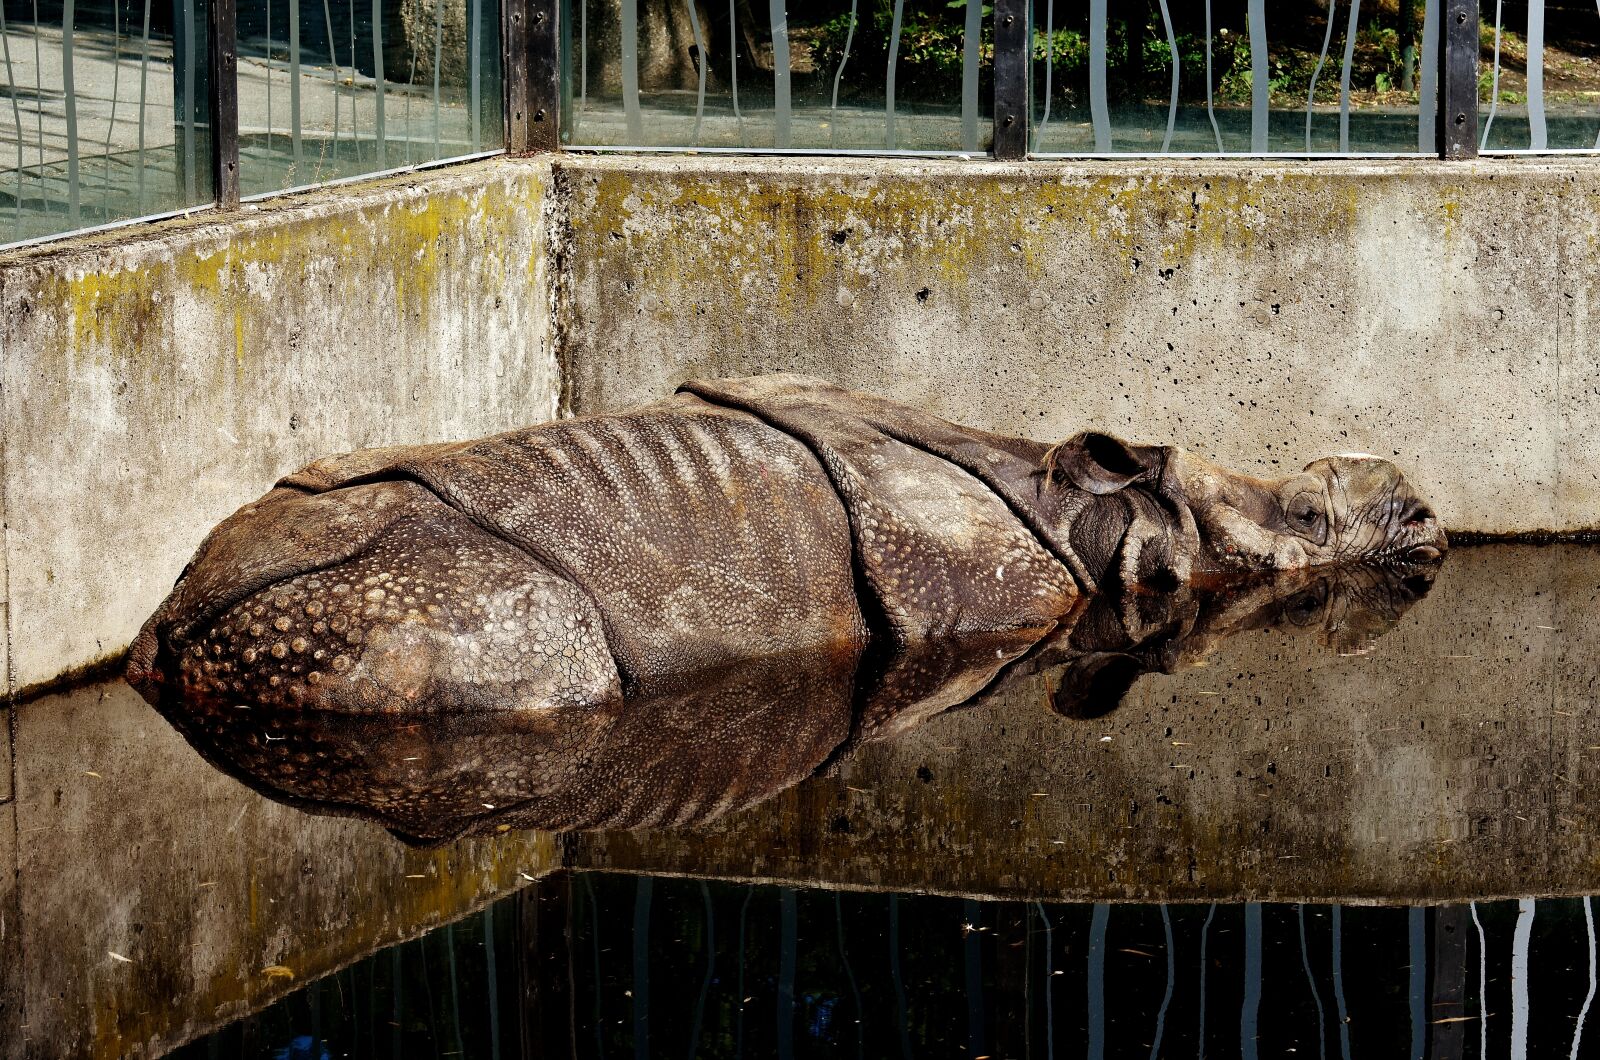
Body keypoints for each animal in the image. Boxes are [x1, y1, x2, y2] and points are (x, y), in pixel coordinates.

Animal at [127, 374, 1446, 730]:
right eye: (1308, 524)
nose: (1423, 509)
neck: (1082, 511)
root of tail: (164, 627)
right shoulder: (983, 594)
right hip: (421, 604)